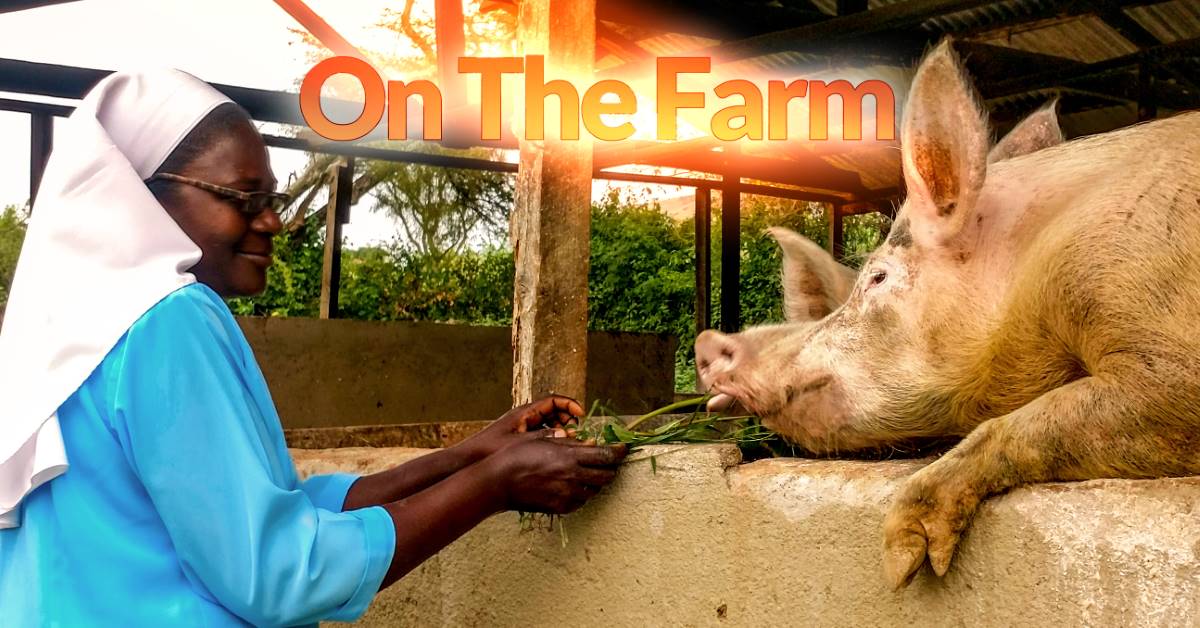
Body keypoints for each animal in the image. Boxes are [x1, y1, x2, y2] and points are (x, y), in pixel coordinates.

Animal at [696, 39, 1200, 590]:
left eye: (877, 278)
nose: (707, 342)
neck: (1030, 269)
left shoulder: (1163, 347)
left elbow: (1019, 425)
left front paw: (901, 568)